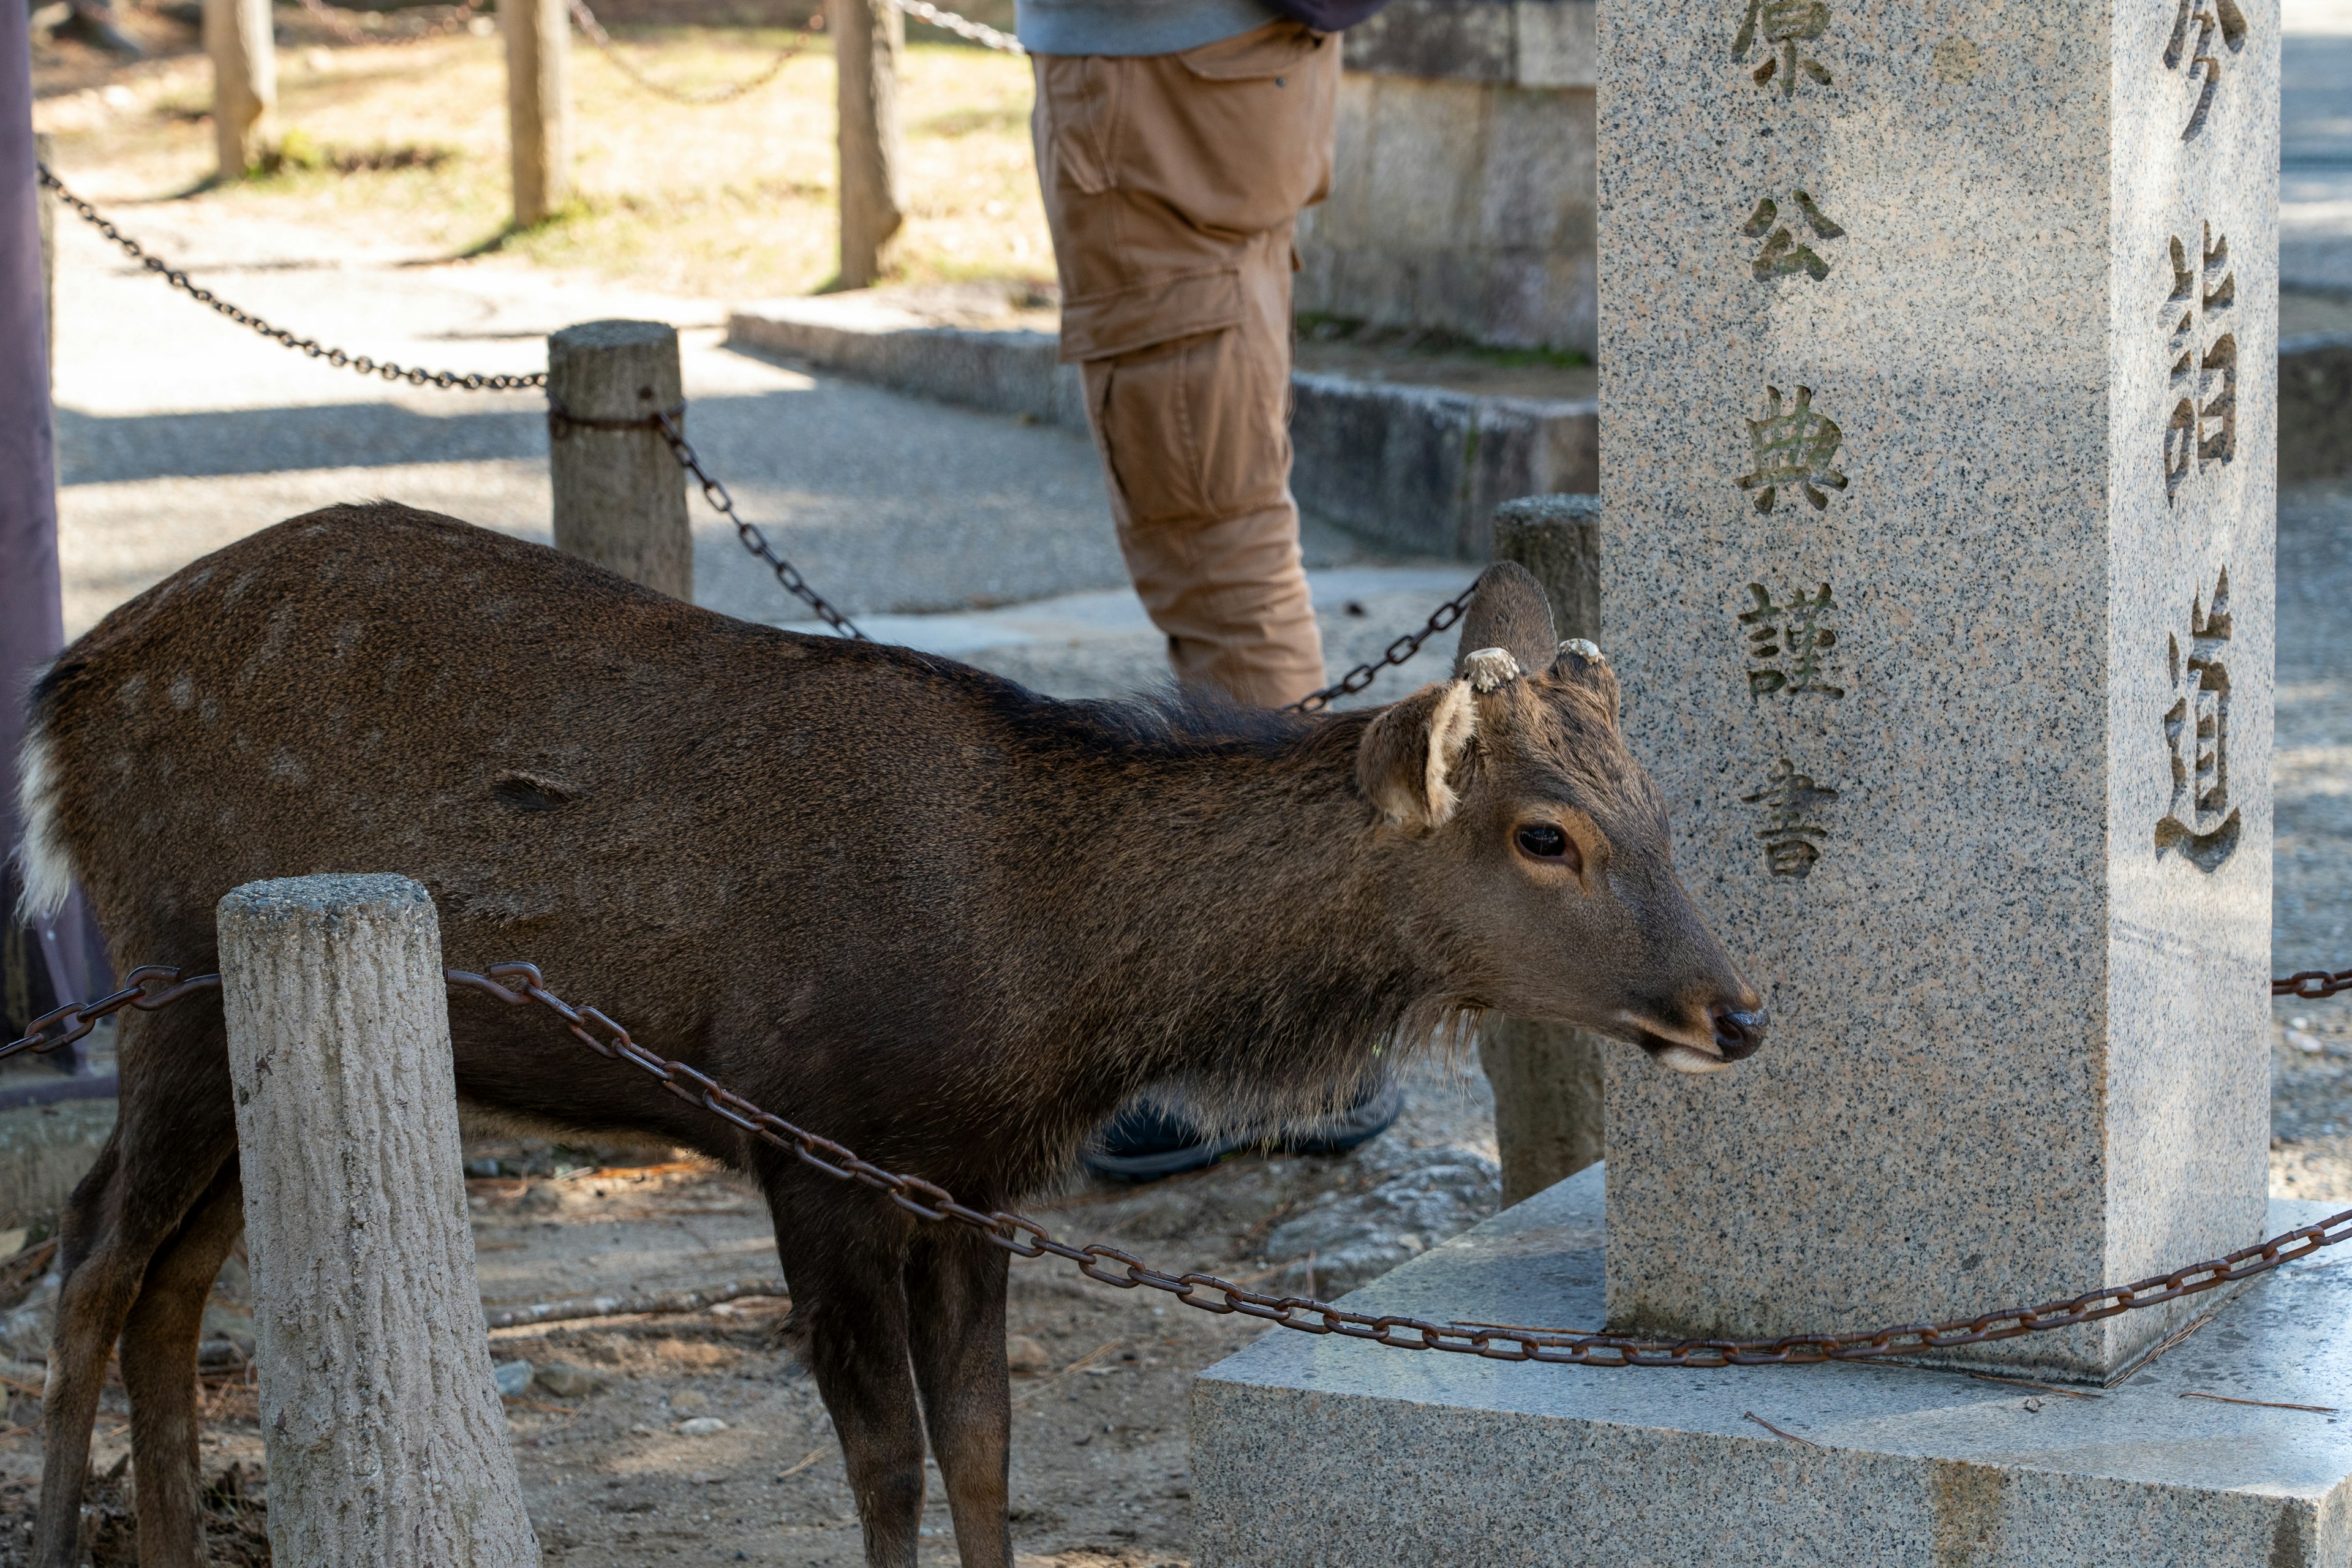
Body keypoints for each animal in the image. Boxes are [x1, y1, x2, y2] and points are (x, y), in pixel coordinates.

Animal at [9, 505, 1759, 1568]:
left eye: (1659, 805)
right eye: (1544, 834)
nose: (1734, 1007)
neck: (1047, 976)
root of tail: (66, 689)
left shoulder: (970, 1177)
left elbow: (984, 1439)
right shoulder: (811, 1141)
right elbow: (886, 1459)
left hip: (245, 1033)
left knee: (170, 1280)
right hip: (174, 975)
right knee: (88, 1257)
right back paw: (53, 1529)